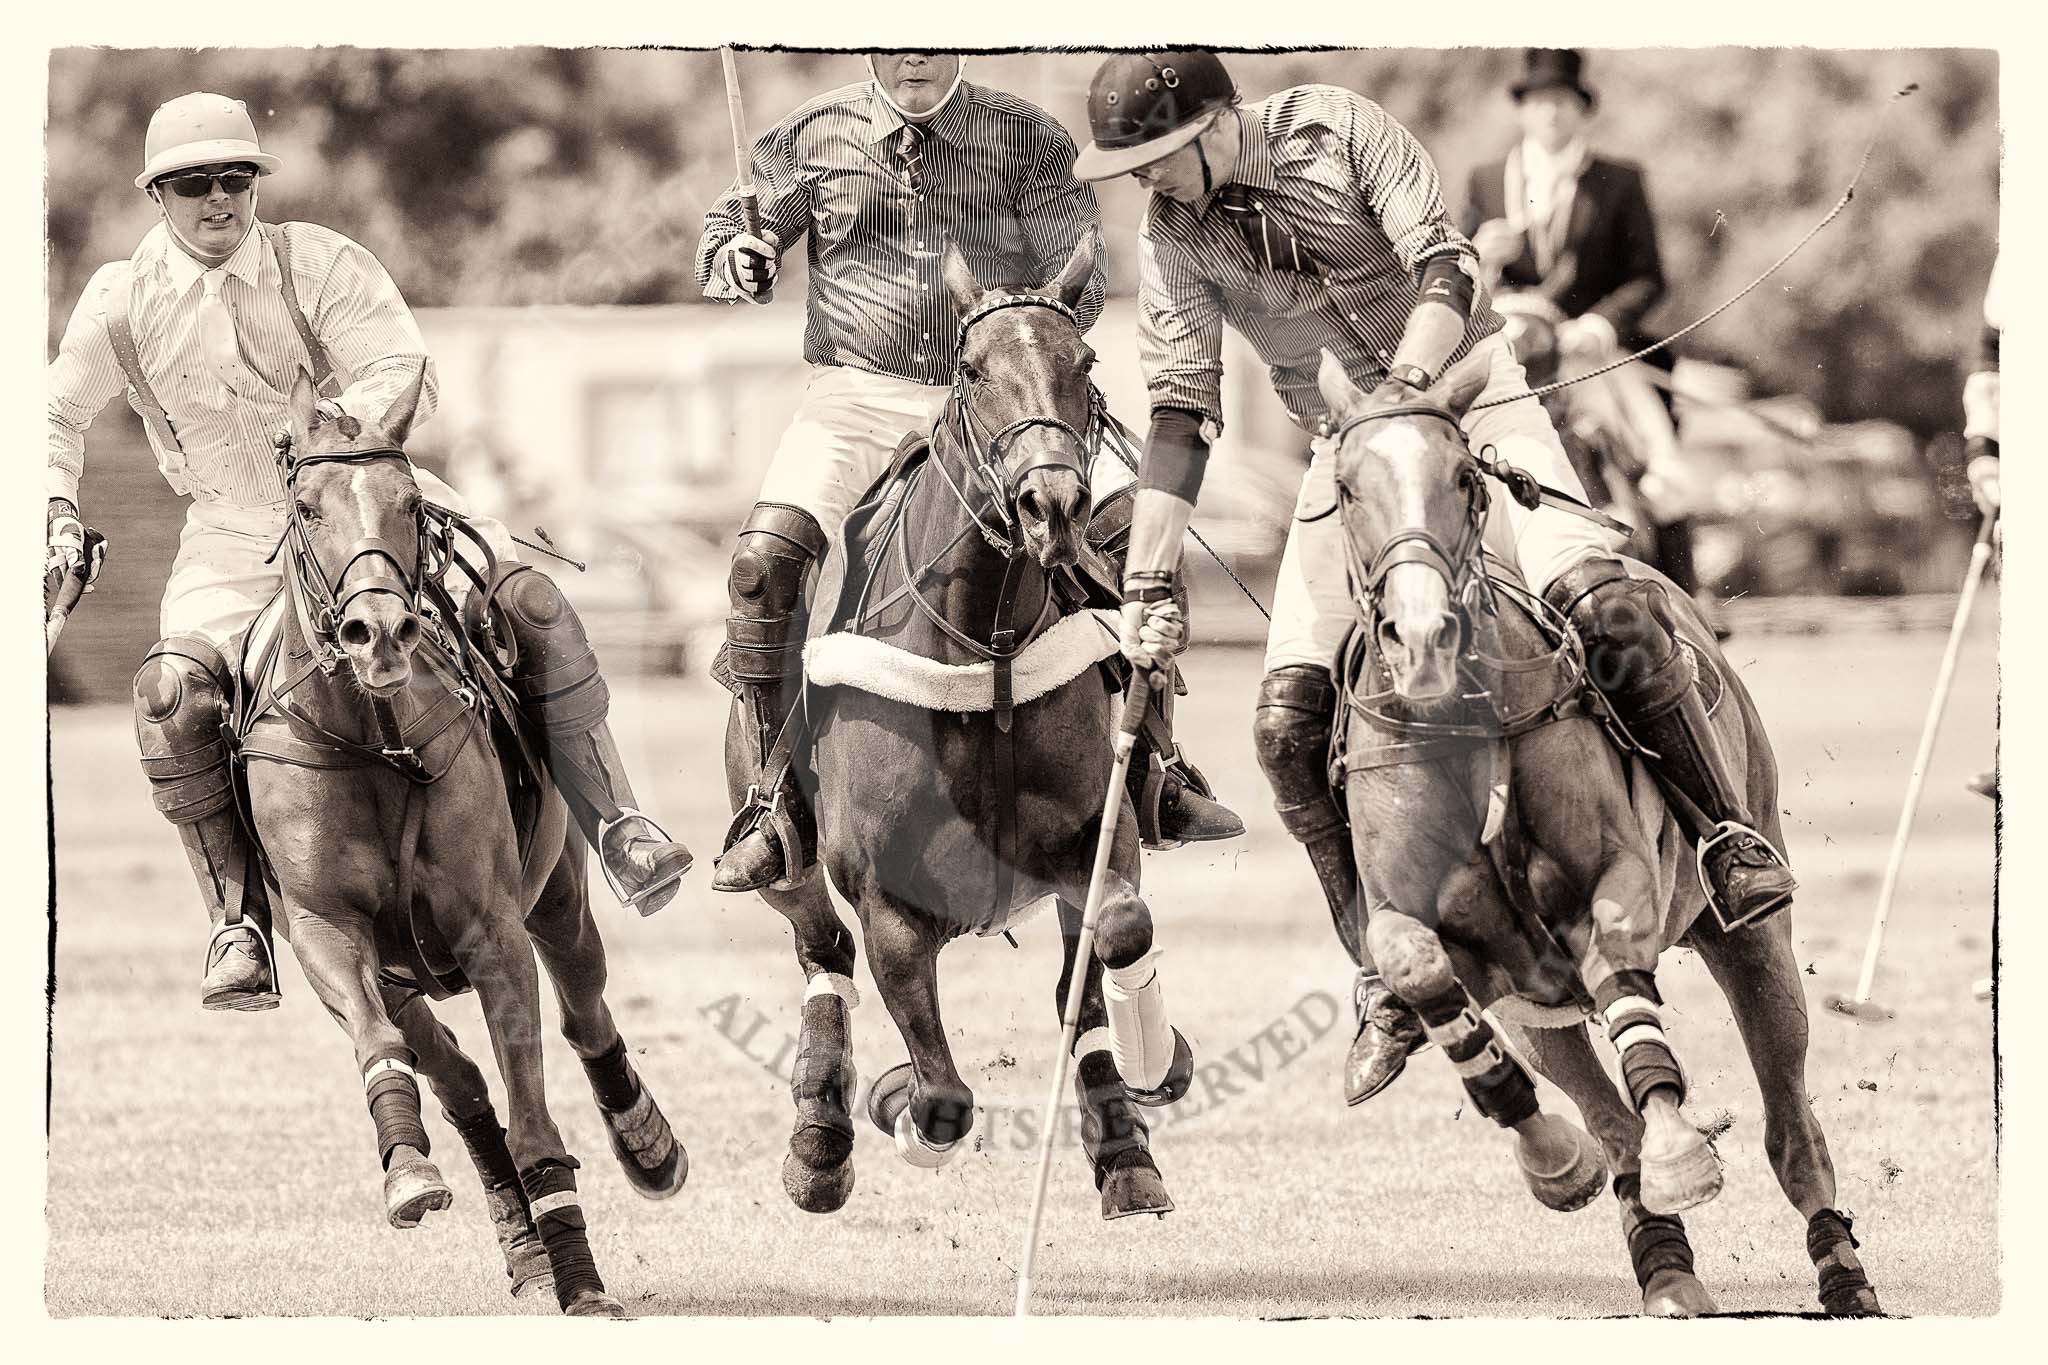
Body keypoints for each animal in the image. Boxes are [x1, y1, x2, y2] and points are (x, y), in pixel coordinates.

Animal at [232, 368, 679, 1317]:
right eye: (307, 505)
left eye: (409, 503)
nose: (379, 631)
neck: (374, 738)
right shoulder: (326, 931)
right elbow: (382, 1044)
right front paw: (408, 1170)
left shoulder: (492, 929)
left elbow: (536, 1108)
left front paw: (583, 1279)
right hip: (405, 976)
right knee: (460, 1078)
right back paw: (518, 1241)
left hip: (560, 898)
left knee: (584, 1013)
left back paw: (644, 1145)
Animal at [1318, 351, 1875, 1326]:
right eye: (1347, 489)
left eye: (1463, 477)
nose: (1421, 637)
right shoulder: (1434, 932)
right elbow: (1418, 967)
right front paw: (1553, 1161)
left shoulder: (1614, 878)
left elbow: (1627, 984)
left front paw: (1682, 1150)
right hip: (1535, 1002)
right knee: (1609, 1121)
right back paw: (1661, 1263)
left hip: (1752, 936)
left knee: (1788, 1121)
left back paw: (1843, 1273)